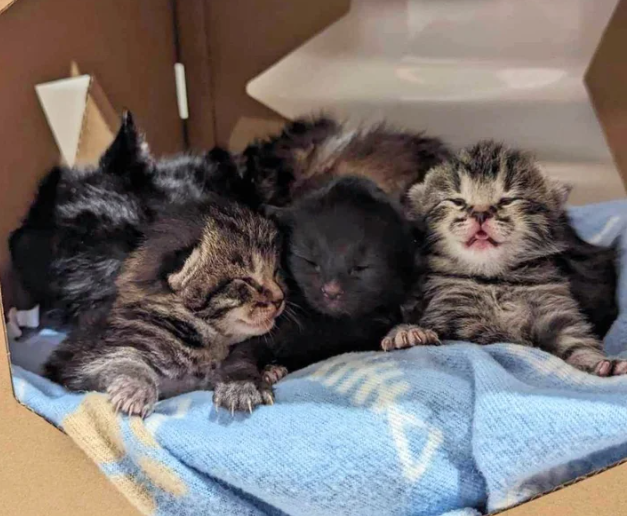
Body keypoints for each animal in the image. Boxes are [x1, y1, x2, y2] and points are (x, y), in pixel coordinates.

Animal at [44, 197, 285, 416]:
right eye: (247, 281)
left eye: (275, 273)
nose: (280, 298)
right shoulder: (88, 359)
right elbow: (124, 358)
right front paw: (136, 390)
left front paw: (254, 377)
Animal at [212, 176, 418, 412]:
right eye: (310, 260)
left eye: (361, 267)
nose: (331, 291)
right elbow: (243, 351)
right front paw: (240, 386)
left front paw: (404, 331)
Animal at [385, 141, 626, 376]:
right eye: (457, 201)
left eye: (507, 200)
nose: (480, 213)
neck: (493, 280)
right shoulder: (452, 314)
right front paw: (408, 332)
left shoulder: (554, 309)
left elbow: (577, 343)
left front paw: (601, 363)